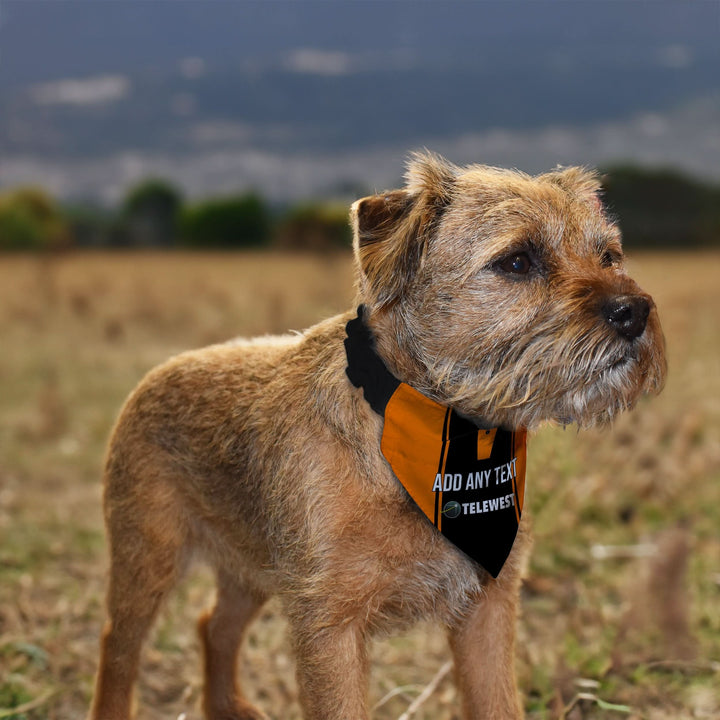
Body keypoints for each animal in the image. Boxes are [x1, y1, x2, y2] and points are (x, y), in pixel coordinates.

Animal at [89, 152, 666, 720]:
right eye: (518, 261)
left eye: (610, 255)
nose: (633, 311)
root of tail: (157, 373)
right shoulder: (329, 627)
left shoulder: (487, 609)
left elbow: (497, 704)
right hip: (148, 559)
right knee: (117, 644)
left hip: (248, 568)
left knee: (214, 625)